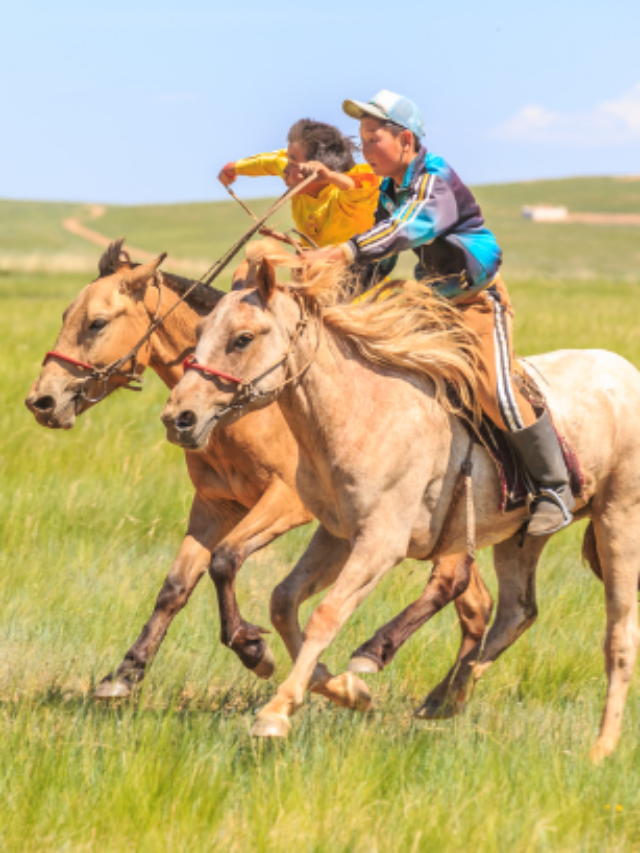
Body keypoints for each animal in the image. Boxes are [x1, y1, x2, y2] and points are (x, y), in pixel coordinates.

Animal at [25, 238, 492, 704]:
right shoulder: (216, 506)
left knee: (457, 588)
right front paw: (126, 672)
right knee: (476, 604)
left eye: (97, 323)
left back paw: (391, 664)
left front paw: (252, 649)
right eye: (66, 315)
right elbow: (176, 585)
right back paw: (446, 692)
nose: (41, 401)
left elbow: (225, 560)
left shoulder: (285, 502)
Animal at [162, 241, 640, 760]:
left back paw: (602, 748)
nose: (179, 417)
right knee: (516, 612)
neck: (361, 410)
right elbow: (283, 602)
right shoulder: (337, 536)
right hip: (520, 537)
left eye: (242, 338)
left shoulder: (380, 543)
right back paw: (444, 697)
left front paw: (277, 711)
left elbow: (326, 615)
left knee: (618, 635)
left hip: (618, 521)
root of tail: (625, 373)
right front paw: (344, 690)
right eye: (200, 331)